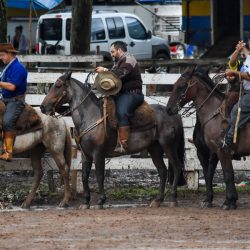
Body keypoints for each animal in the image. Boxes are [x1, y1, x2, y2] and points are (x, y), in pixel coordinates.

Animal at [40, 71, 186, 209]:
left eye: (58, 85)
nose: (42, 107)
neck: (90, 115)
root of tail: (174, 113)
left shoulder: (98, 154)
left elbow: (99, 176)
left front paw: (100, 201)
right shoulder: (85, 154)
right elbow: (85, 176)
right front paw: (86, 202)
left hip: (169, 146)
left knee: (177, 168)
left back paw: (173, 199)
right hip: (154, 148)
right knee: (162, 171)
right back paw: (157, 200)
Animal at [166, 66, 248, 209]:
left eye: (181, 86)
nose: (169, 108)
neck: (214, 114)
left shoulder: (221, 151)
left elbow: (228, 174)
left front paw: (229, 201)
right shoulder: (204, 152)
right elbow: (209, 173)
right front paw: (211, 199)